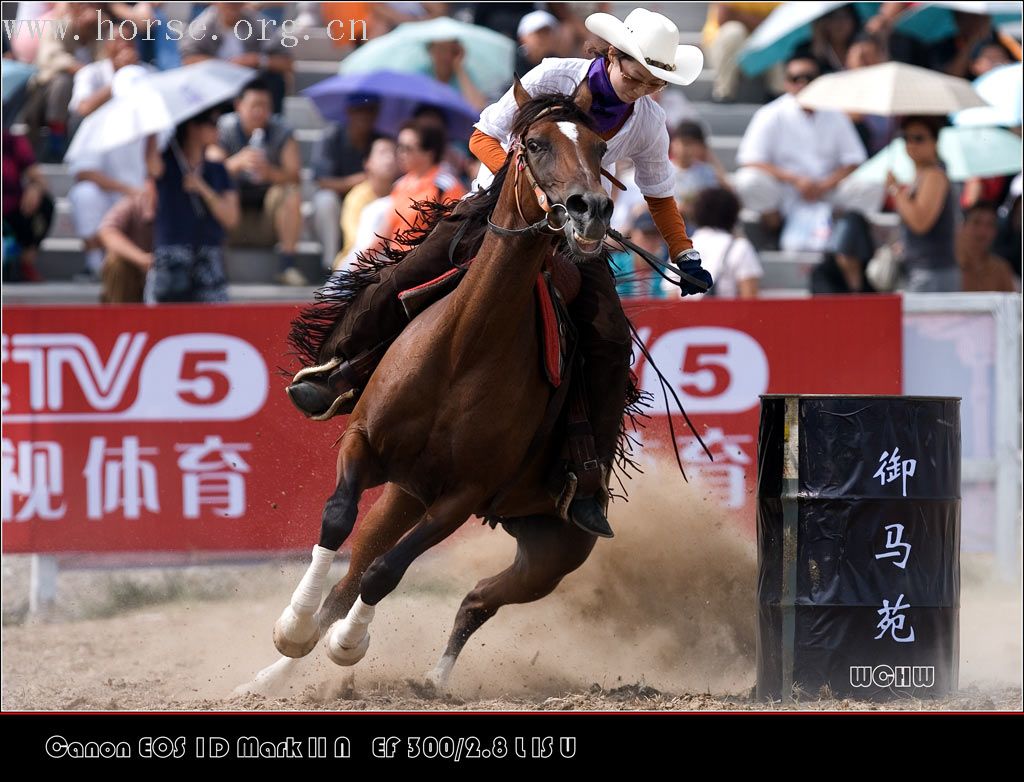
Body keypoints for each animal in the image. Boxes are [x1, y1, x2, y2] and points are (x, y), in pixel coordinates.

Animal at [270, 77, 614, 691]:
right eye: (535, 144)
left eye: (601, 148)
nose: (591, 209)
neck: (462, 348)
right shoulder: (362, 442)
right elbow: (337, 520)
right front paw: (295, 626)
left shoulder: (460, 498)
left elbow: (386, 573)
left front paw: (348, 647)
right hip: (404, 495)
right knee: (348, 582)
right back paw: (269, 679)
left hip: (551, 553)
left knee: (475, 600)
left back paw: (431, 680)